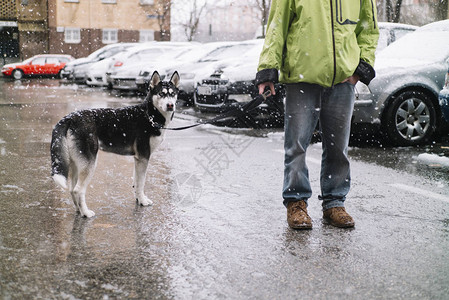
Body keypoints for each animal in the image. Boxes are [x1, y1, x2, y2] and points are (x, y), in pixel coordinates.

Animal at [50, 71, 178, 216]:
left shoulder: (138, 159)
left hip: (76, 163)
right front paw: (143, 201)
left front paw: (138, 199)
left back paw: (79, 210)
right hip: (89, 164)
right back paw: (86, 213)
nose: (170, 105)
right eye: (161, 93)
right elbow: (141, 183)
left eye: (172, 94)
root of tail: (70, 117)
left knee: (72, 189)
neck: (150, 115)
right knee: (78, 190)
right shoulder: (143, 157)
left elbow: (136, 182)